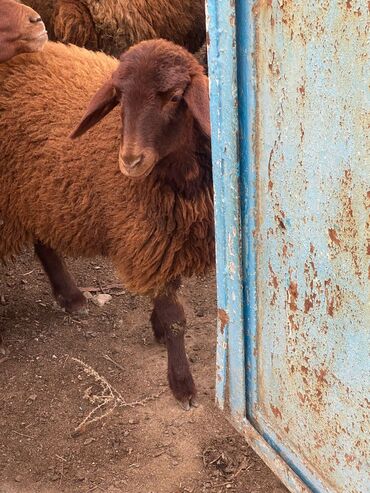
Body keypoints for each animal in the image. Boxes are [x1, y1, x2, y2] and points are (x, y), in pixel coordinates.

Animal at [0, 39, 214, 408]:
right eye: (119, 97)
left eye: (175, 97)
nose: (130, 160)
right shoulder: (151, 239)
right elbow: (175, 319)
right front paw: (182, 384)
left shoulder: (165, 241)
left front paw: (157, 327)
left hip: (38, 190)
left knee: (44, 242)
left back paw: (70, 296)